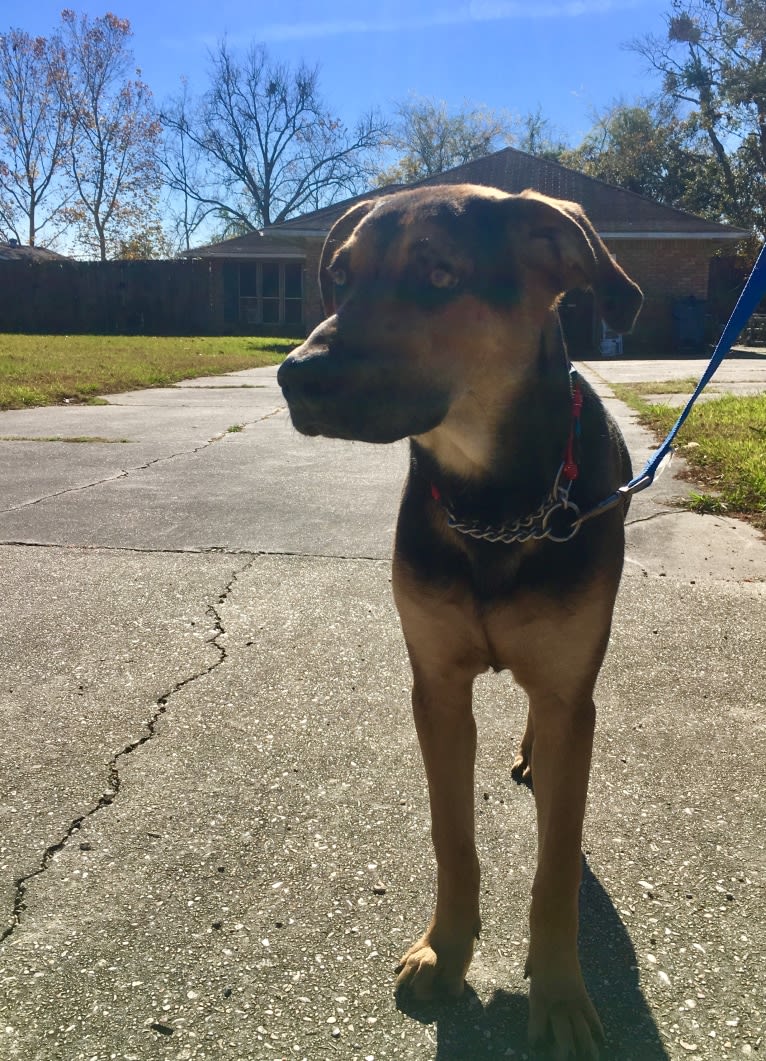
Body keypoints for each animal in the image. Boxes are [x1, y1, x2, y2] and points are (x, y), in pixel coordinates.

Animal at [277, 186, 640, 1056]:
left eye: (439, 272)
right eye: (342, 275)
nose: (293, 375)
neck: (494, 502)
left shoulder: (570, 688)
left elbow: (555, 864)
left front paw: (562, 994)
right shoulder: (436, 685)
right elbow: (451, 834)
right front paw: (445, 948)